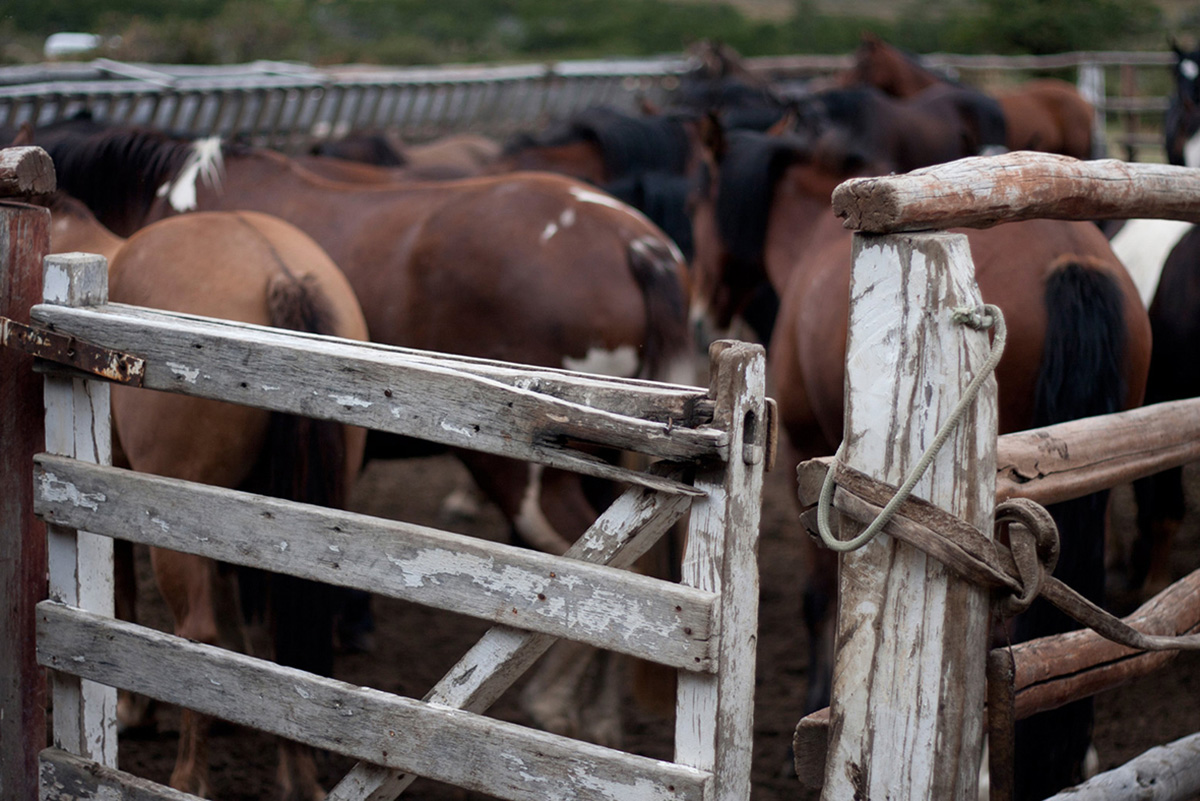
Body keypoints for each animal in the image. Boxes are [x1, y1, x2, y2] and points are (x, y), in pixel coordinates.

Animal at [46, 195, 367, 801]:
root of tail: (278, 273)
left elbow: (122, 596)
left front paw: (134, 710)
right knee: (284, 630)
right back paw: (297, 777)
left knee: (196, 634)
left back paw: (188, 778)